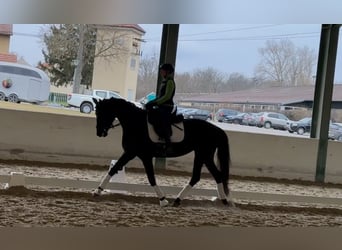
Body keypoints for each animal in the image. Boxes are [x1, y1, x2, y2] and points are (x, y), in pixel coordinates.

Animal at [92, 97, 234, 207]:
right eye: (97, 113)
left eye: (103, 113)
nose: (99, 133)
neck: (136, 124)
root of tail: (216, 129)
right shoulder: (130, 153)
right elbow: (113, 169)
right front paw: (97, 191)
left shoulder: (143, 156)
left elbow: (151, 178)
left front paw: (163, 200)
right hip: (203, 155)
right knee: (207, 176)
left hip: (204, 154)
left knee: (210, 176)